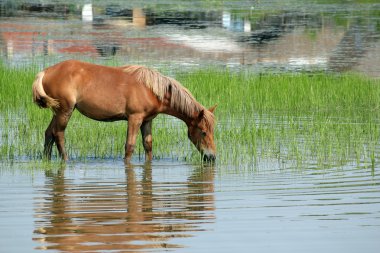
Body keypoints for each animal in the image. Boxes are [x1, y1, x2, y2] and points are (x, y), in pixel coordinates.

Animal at [32, 59, 217, 162]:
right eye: (203, 132)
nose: (212, 157)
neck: (151, 89)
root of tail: (46, 71)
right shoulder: (135, 118)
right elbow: (130, 146)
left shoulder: (147, 120)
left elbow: (148, 145)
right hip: (65, 110)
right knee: (59, 134)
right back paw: (66, 159)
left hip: (57, 111)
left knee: (49, 133)